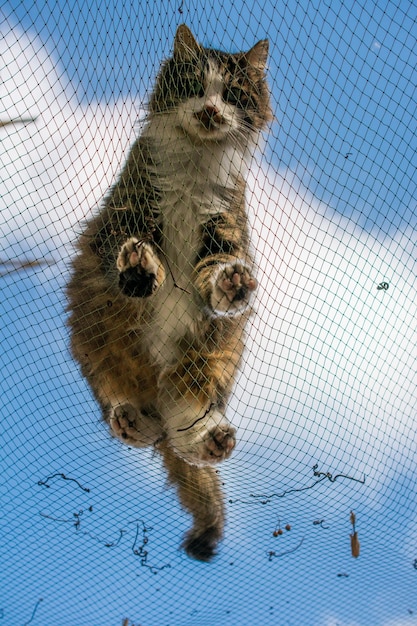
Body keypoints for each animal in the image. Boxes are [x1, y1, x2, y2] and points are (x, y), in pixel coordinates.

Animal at [66, 25, 272, 560]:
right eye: (197, 87)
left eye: (231, 95)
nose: (210, 111)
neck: (194, 168)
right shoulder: (125, 214)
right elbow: (129, 250)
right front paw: (142, 269)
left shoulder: (224, 229)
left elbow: (216, 273)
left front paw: (230, 285)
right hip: (94, 340)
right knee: (129, 412)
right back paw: (131, 419)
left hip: (207, 361)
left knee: (182, 433)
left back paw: (210, 439)